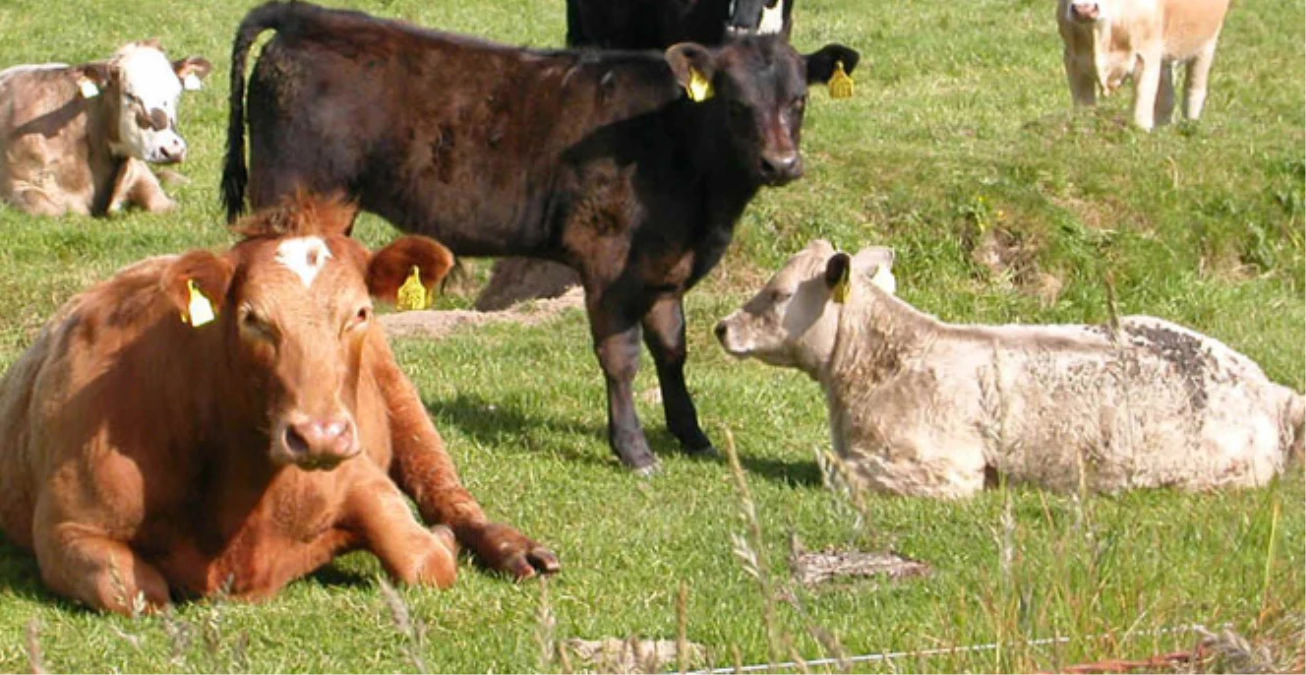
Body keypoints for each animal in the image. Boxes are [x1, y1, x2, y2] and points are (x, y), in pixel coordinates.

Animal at [0, 40, 211, 214]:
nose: (172, 150)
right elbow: (55, 212)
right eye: (130, 95)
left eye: (177, 93)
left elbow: (166, 205)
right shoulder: (17, 186)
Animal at [0, 193, 556, 611]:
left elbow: (423, 561)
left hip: (402, 401)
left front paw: (441, 541)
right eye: (252, 318)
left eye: (360, 312)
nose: (319, 435)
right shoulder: (66, 528)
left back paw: (519, 551)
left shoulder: (362, 476)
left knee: (447, 492)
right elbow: (137, 591)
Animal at [224, 1, 856, 472]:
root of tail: (309, 17)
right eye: (735, 103)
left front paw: (691, 434)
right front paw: (634, 449)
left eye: (798, 100)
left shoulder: (666, 265)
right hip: (294, 197)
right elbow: (621, 357)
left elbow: (672, 347)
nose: (781, 164)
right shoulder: (608, 261)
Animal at [1055, 0, 1227, 129]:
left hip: (1207, 43)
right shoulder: (1072, 59)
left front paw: (1141, 133)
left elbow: (1141, 107)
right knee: (1166, 94)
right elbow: (1083, 105)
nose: (1084, 10)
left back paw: (1191, 124)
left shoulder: (1146, 56)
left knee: (1194, 89)